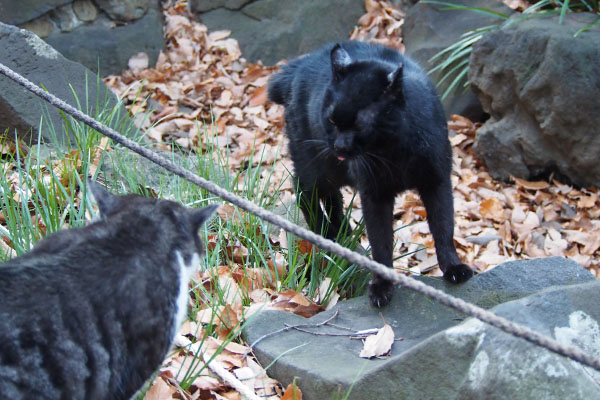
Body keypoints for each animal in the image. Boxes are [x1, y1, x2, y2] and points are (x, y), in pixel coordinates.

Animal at [270, 41, 474, 306]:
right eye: (332, 120)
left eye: (359, 124)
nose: (340, 146)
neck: (392, 153)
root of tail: (298, 65)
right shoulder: (374, 195)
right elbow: (381, 241)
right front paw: (382, 286)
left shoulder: (437, 182)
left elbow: (444, 227)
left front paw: (454, 268)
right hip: (314, 166)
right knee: (303, 192)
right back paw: (323, 232)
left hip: (332, 172)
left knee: (333, 198)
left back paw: (341, 233)